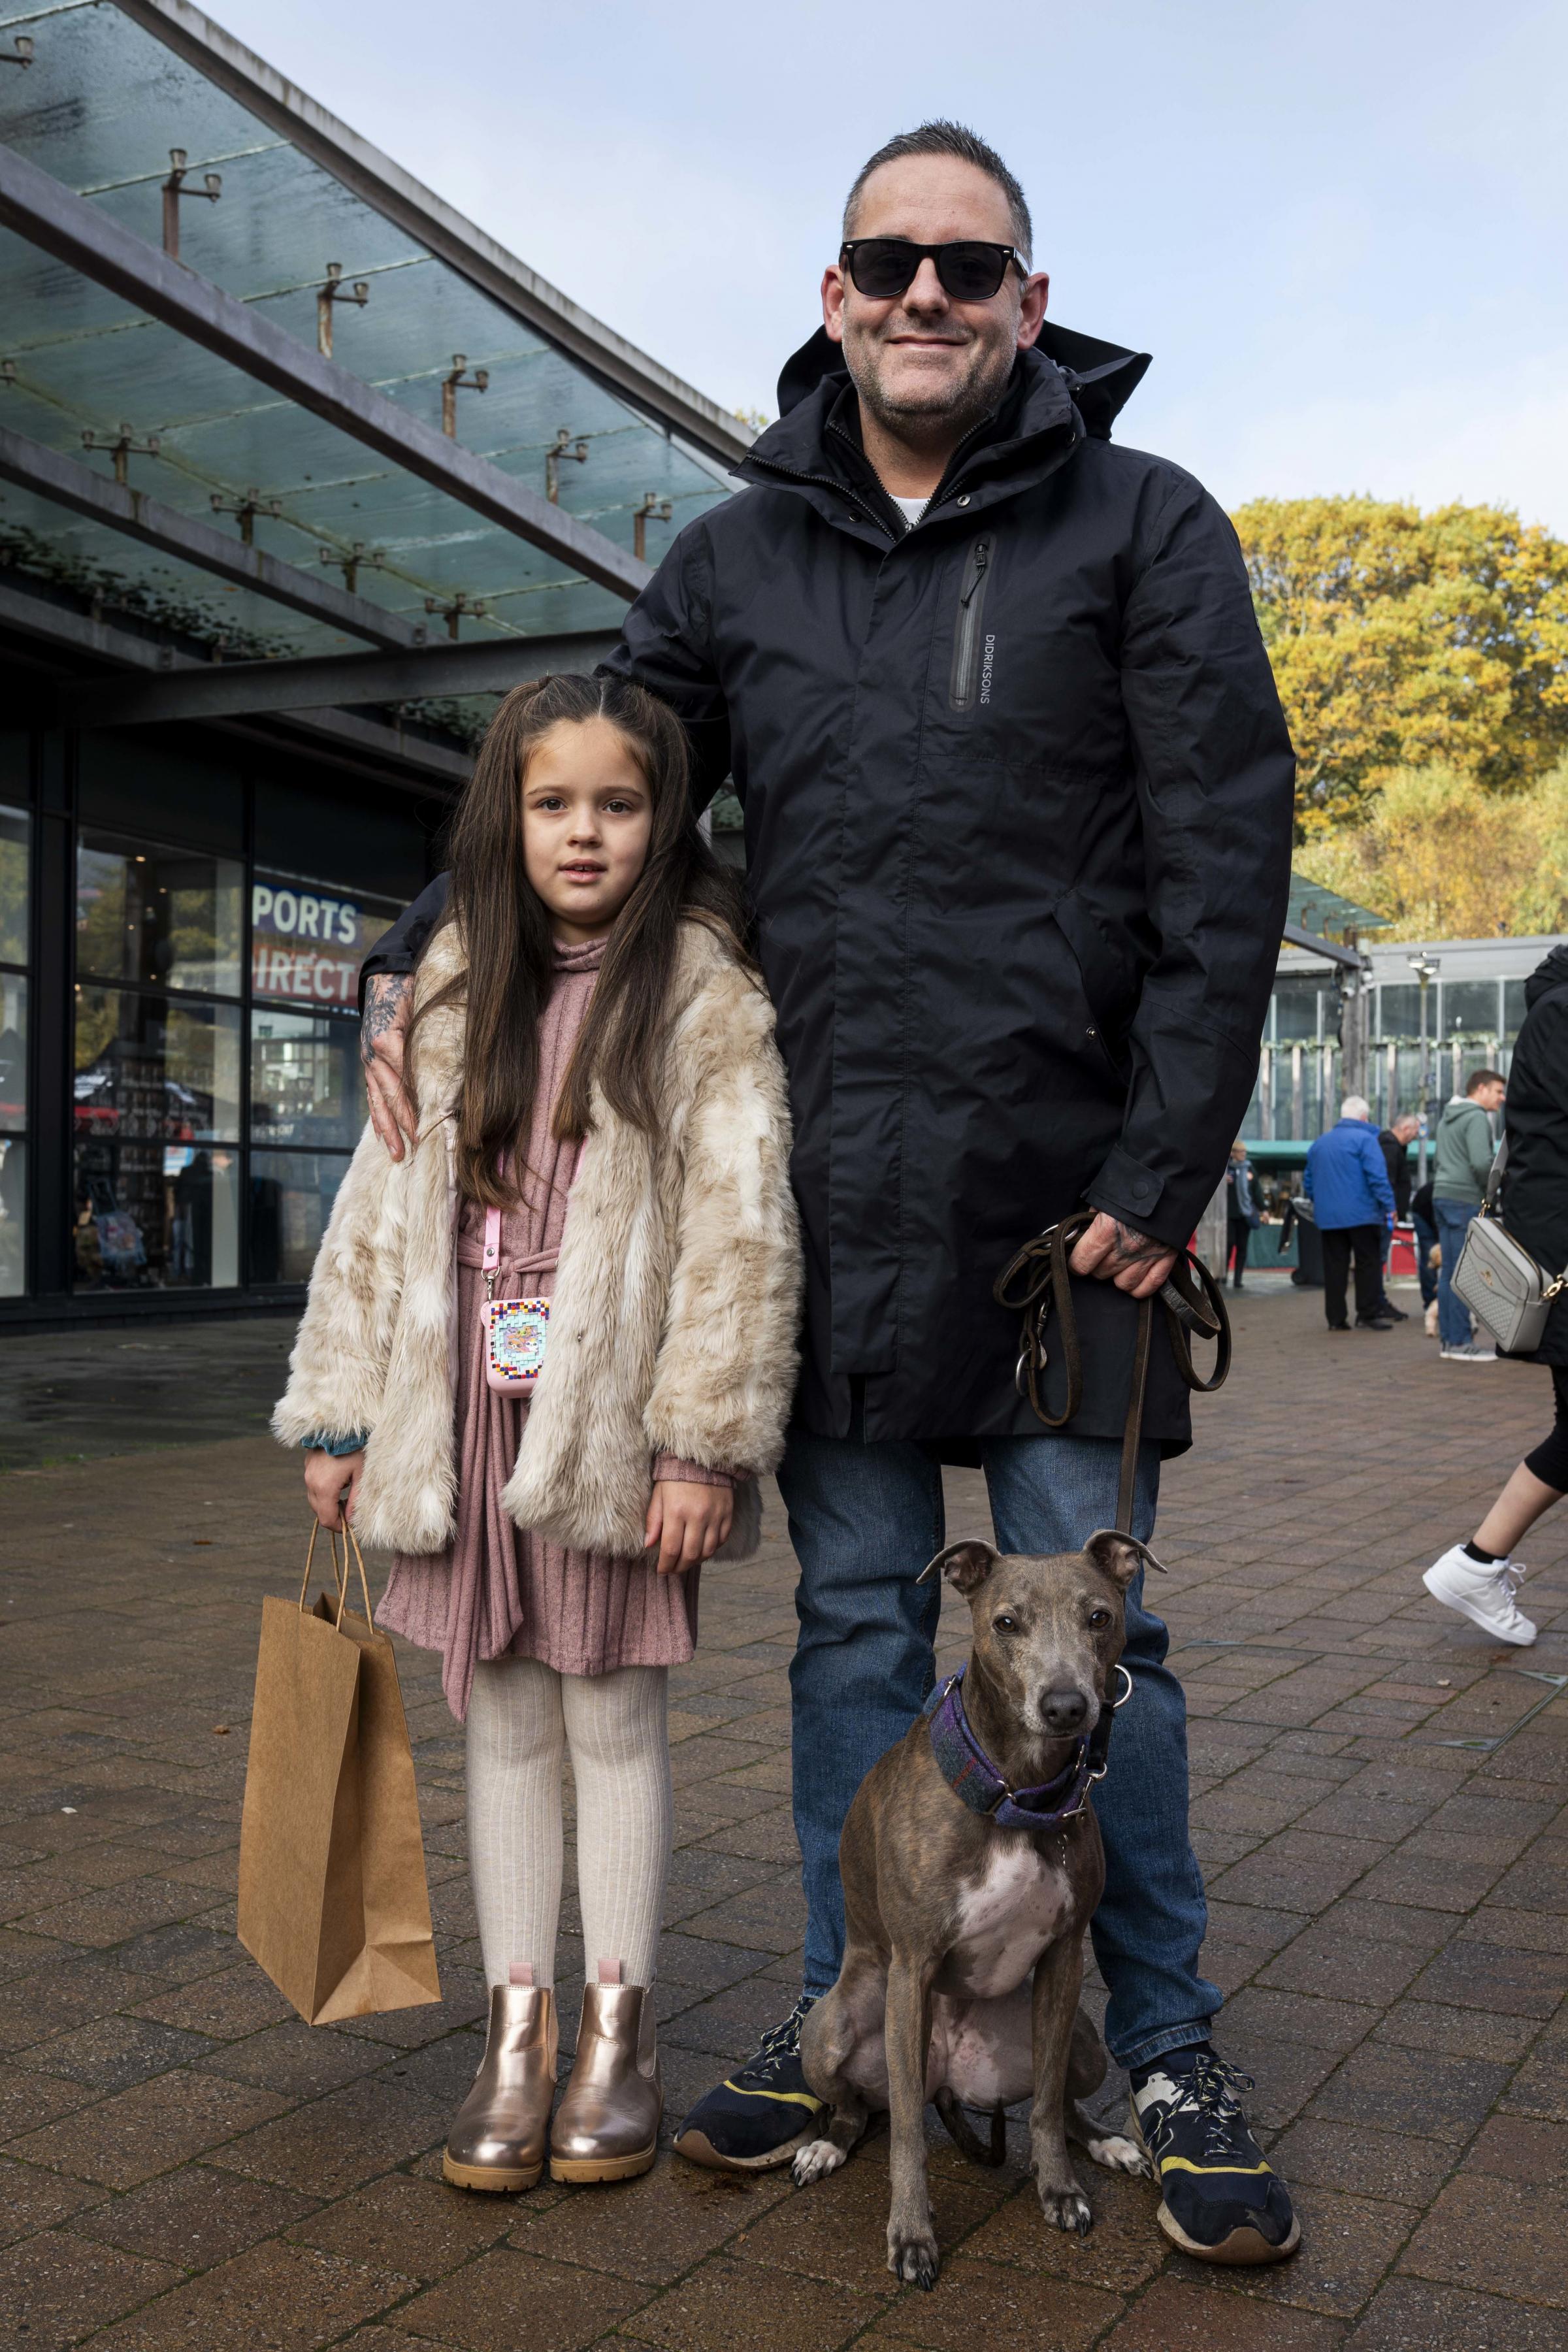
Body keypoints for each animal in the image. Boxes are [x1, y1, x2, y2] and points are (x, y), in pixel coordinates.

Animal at [799, 1533, 1152, 2286]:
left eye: (1100, 1617)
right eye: (1006, 1623)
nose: (1066, 1706)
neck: (1017, 1793)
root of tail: (948, 2079)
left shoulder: (1063, 1958)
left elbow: (1044, 2106)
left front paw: (1060, 2191)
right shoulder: (912, 1969)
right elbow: (905, 2132)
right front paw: (911, 2235)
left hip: (1084, 2041)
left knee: (1066, 2100)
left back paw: (1107, 2144)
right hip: (831, 2032)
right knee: (857, 2107)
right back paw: (827, 2145)